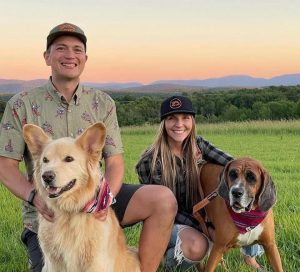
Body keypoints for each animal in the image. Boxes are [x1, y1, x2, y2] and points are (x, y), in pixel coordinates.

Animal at [23, 122, 141, 272]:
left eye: (69, 159)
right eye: (45, 160)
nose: (47, 176)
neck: (69, 212)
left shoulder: (95, 263)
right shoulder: (53, 263)